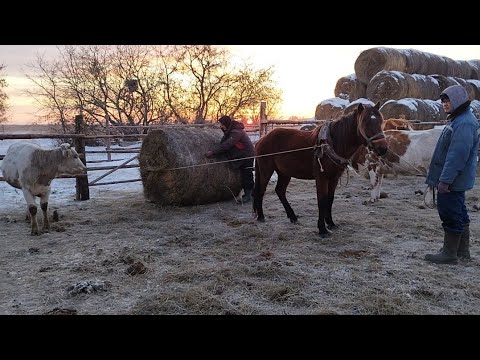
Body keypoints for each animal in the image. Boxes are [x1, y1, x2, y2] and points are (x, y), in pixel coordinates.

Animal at [253, 104, 388, 238]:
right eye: (365, 123)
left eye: (381, 121)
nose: (383, 148)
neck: (331, 143)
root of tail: (262, 139)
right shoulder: (321, 178)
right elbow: (322, 200)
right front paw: (322, 229)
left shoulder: (334, 178)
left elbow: (330, 199)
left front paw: (331, 223)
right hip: (266, 170)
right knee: (261, 190)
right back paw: (261, 217)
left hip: (284, 173)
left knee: (280, 191)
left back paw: (292, 216)